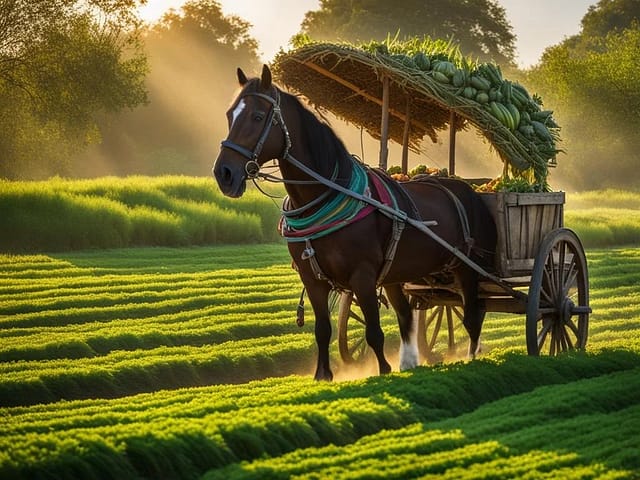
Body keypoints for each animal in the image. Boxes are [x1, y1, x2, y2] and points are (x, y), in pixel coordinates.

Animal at [212, 63, 498, 380]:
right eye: (230, 114)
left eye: (258, 116)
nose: (224, 174)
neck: (327, 195)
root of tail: (464, 187)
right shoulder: (312, 279)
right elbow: (323, 330)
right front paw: (323, 375)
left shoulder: (363, 275)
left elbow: (374, 331)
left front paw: (383, 371)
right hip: (398, 275)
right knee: (408, 315)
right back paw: (410, 362)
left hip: (466, 268)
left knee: (472, 315)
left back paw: (472, 358)